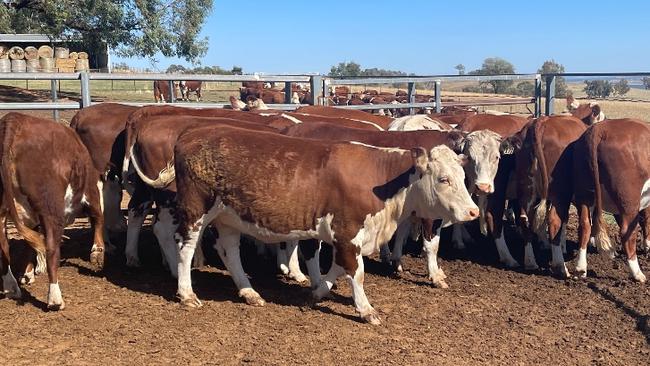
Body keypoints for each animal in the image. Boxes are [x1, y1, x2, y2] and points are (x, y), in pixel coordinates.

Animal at [0, 113, 105, 310]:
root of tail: (14, 120)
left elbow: (29, 244)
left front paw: (28, 274)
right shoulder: (91, 192)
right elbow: (98, 217)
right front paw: (97, 253)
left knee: (4, 246)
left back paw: (11, 287)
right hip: (51, 209)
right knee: (51, 249)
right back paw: (55, 299)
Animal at [171, 125, 476, 324]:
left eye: (463, 176)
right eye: (444, 179)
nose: (472, 211)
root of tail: (191, 133)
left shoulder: (346, 237)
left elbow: (339, 268)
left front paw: (317, 292)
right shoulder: (348, 232)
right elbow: (356, 272)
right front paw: (366, 310)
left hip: (230, 217)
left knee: (230, 252)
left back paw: (249, 292)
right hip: (196, 211)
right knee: (185, 248)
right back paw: (187, 294)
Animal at [548, 118, 648, 278]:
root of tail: (598, 130)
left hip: (583, 193)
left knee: (577, 224)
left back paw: (572, 267)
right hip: (628, 199)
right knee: (627, 231)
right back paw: (637, 274)